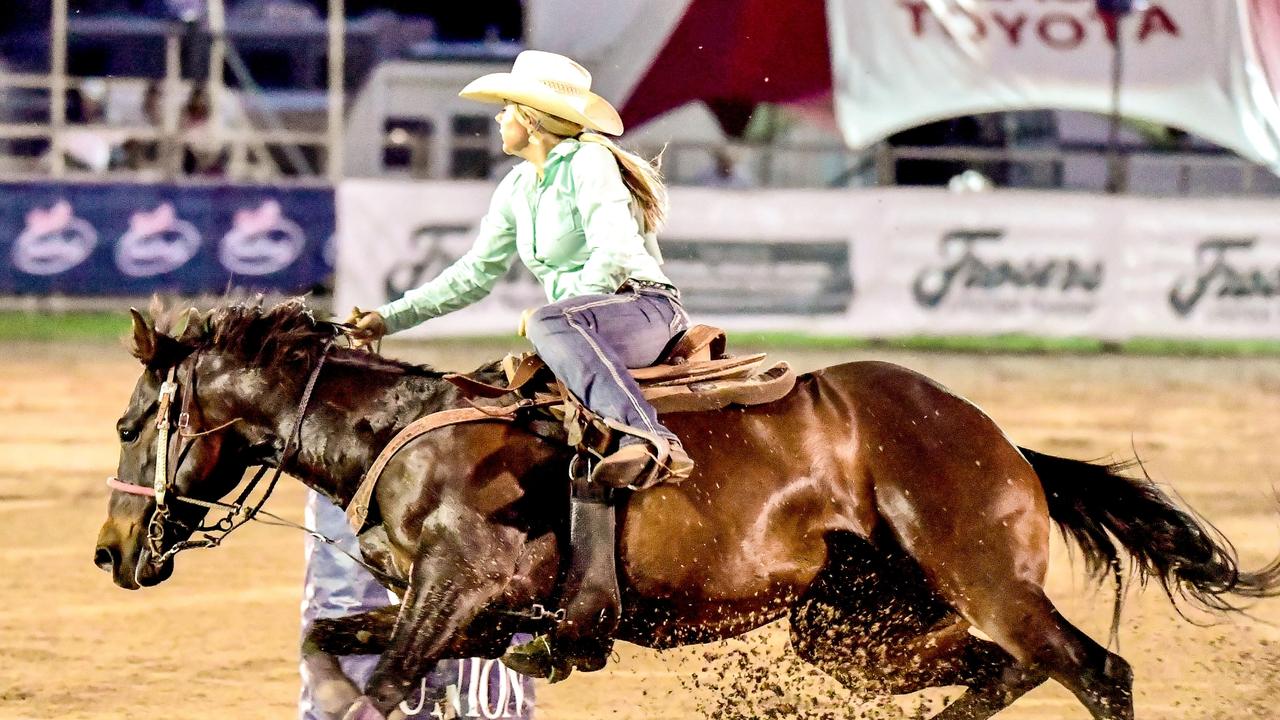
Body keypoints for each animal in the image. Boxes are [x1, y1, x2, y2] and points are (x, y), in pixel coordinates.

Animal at [92, 298, 1280, 717]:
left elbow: (385, 679)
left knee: (1094, 669)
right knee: (1002, 670)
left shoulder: (461, 588)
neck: (409, 433)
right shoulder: (474, 614)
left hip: (984, 578)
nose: (108, 553)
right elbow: (338, 637)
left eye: (128, 423)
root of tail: (994, 437)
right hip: (849, 628)